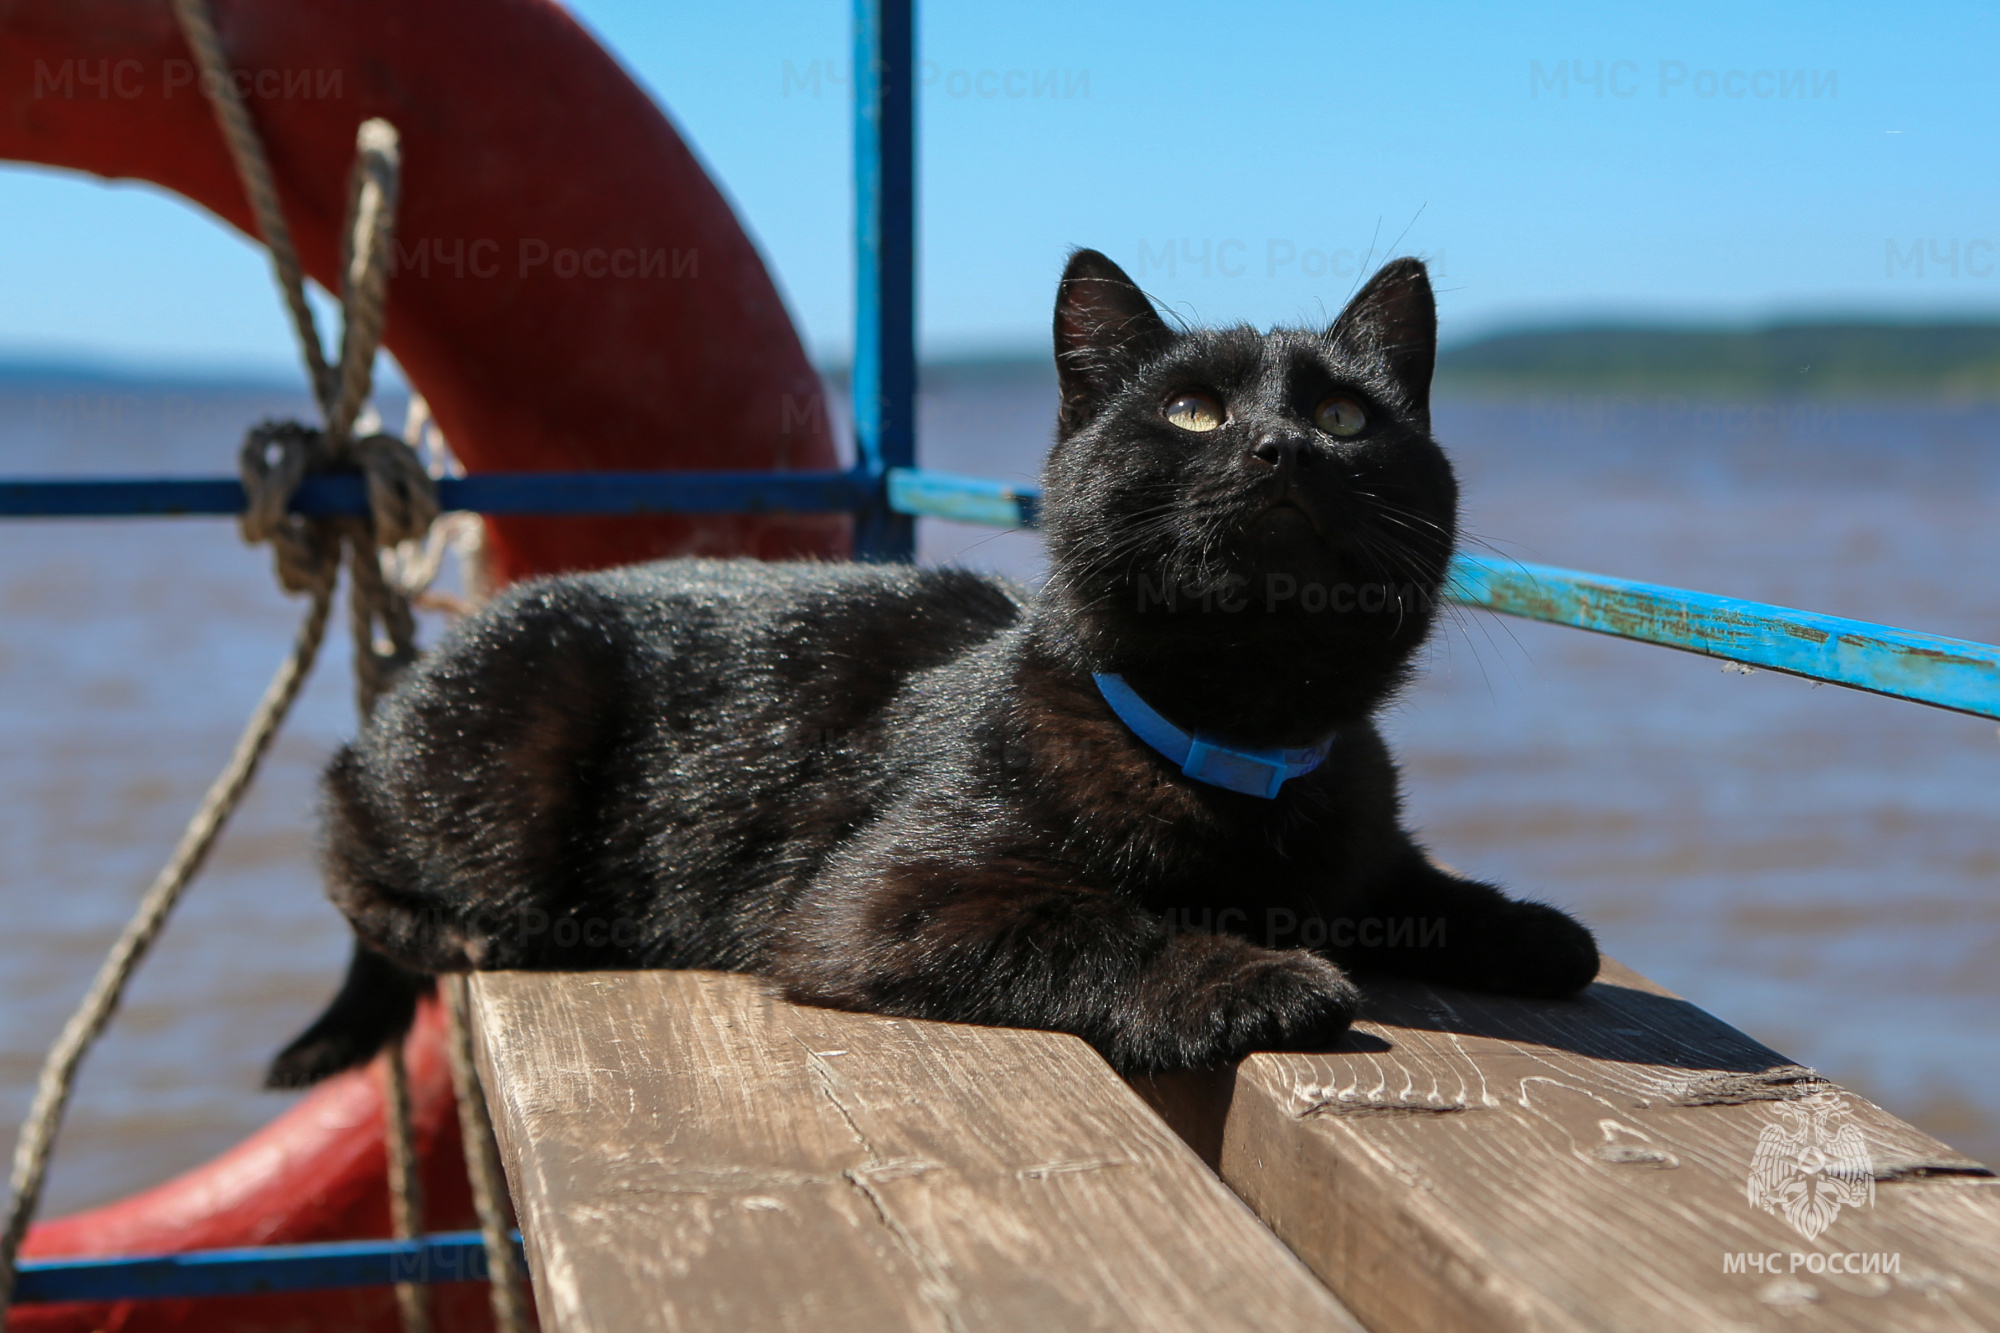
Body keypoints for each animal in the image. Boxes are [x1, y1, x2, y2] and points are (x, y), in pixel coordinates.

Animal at [274, 246, 1600, 1080]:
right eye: (1191, 412)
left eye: (1342, 419)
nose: (1280, 445)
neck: (1242, 739)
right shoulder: (880, 898)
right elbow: (1092, 919)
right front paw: (1245, 981)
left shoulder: (1360, 841)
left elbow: (1420, 890)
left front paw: (1529, 928)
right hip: (509, 769)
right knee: (338, 822)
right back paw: (458, 934)